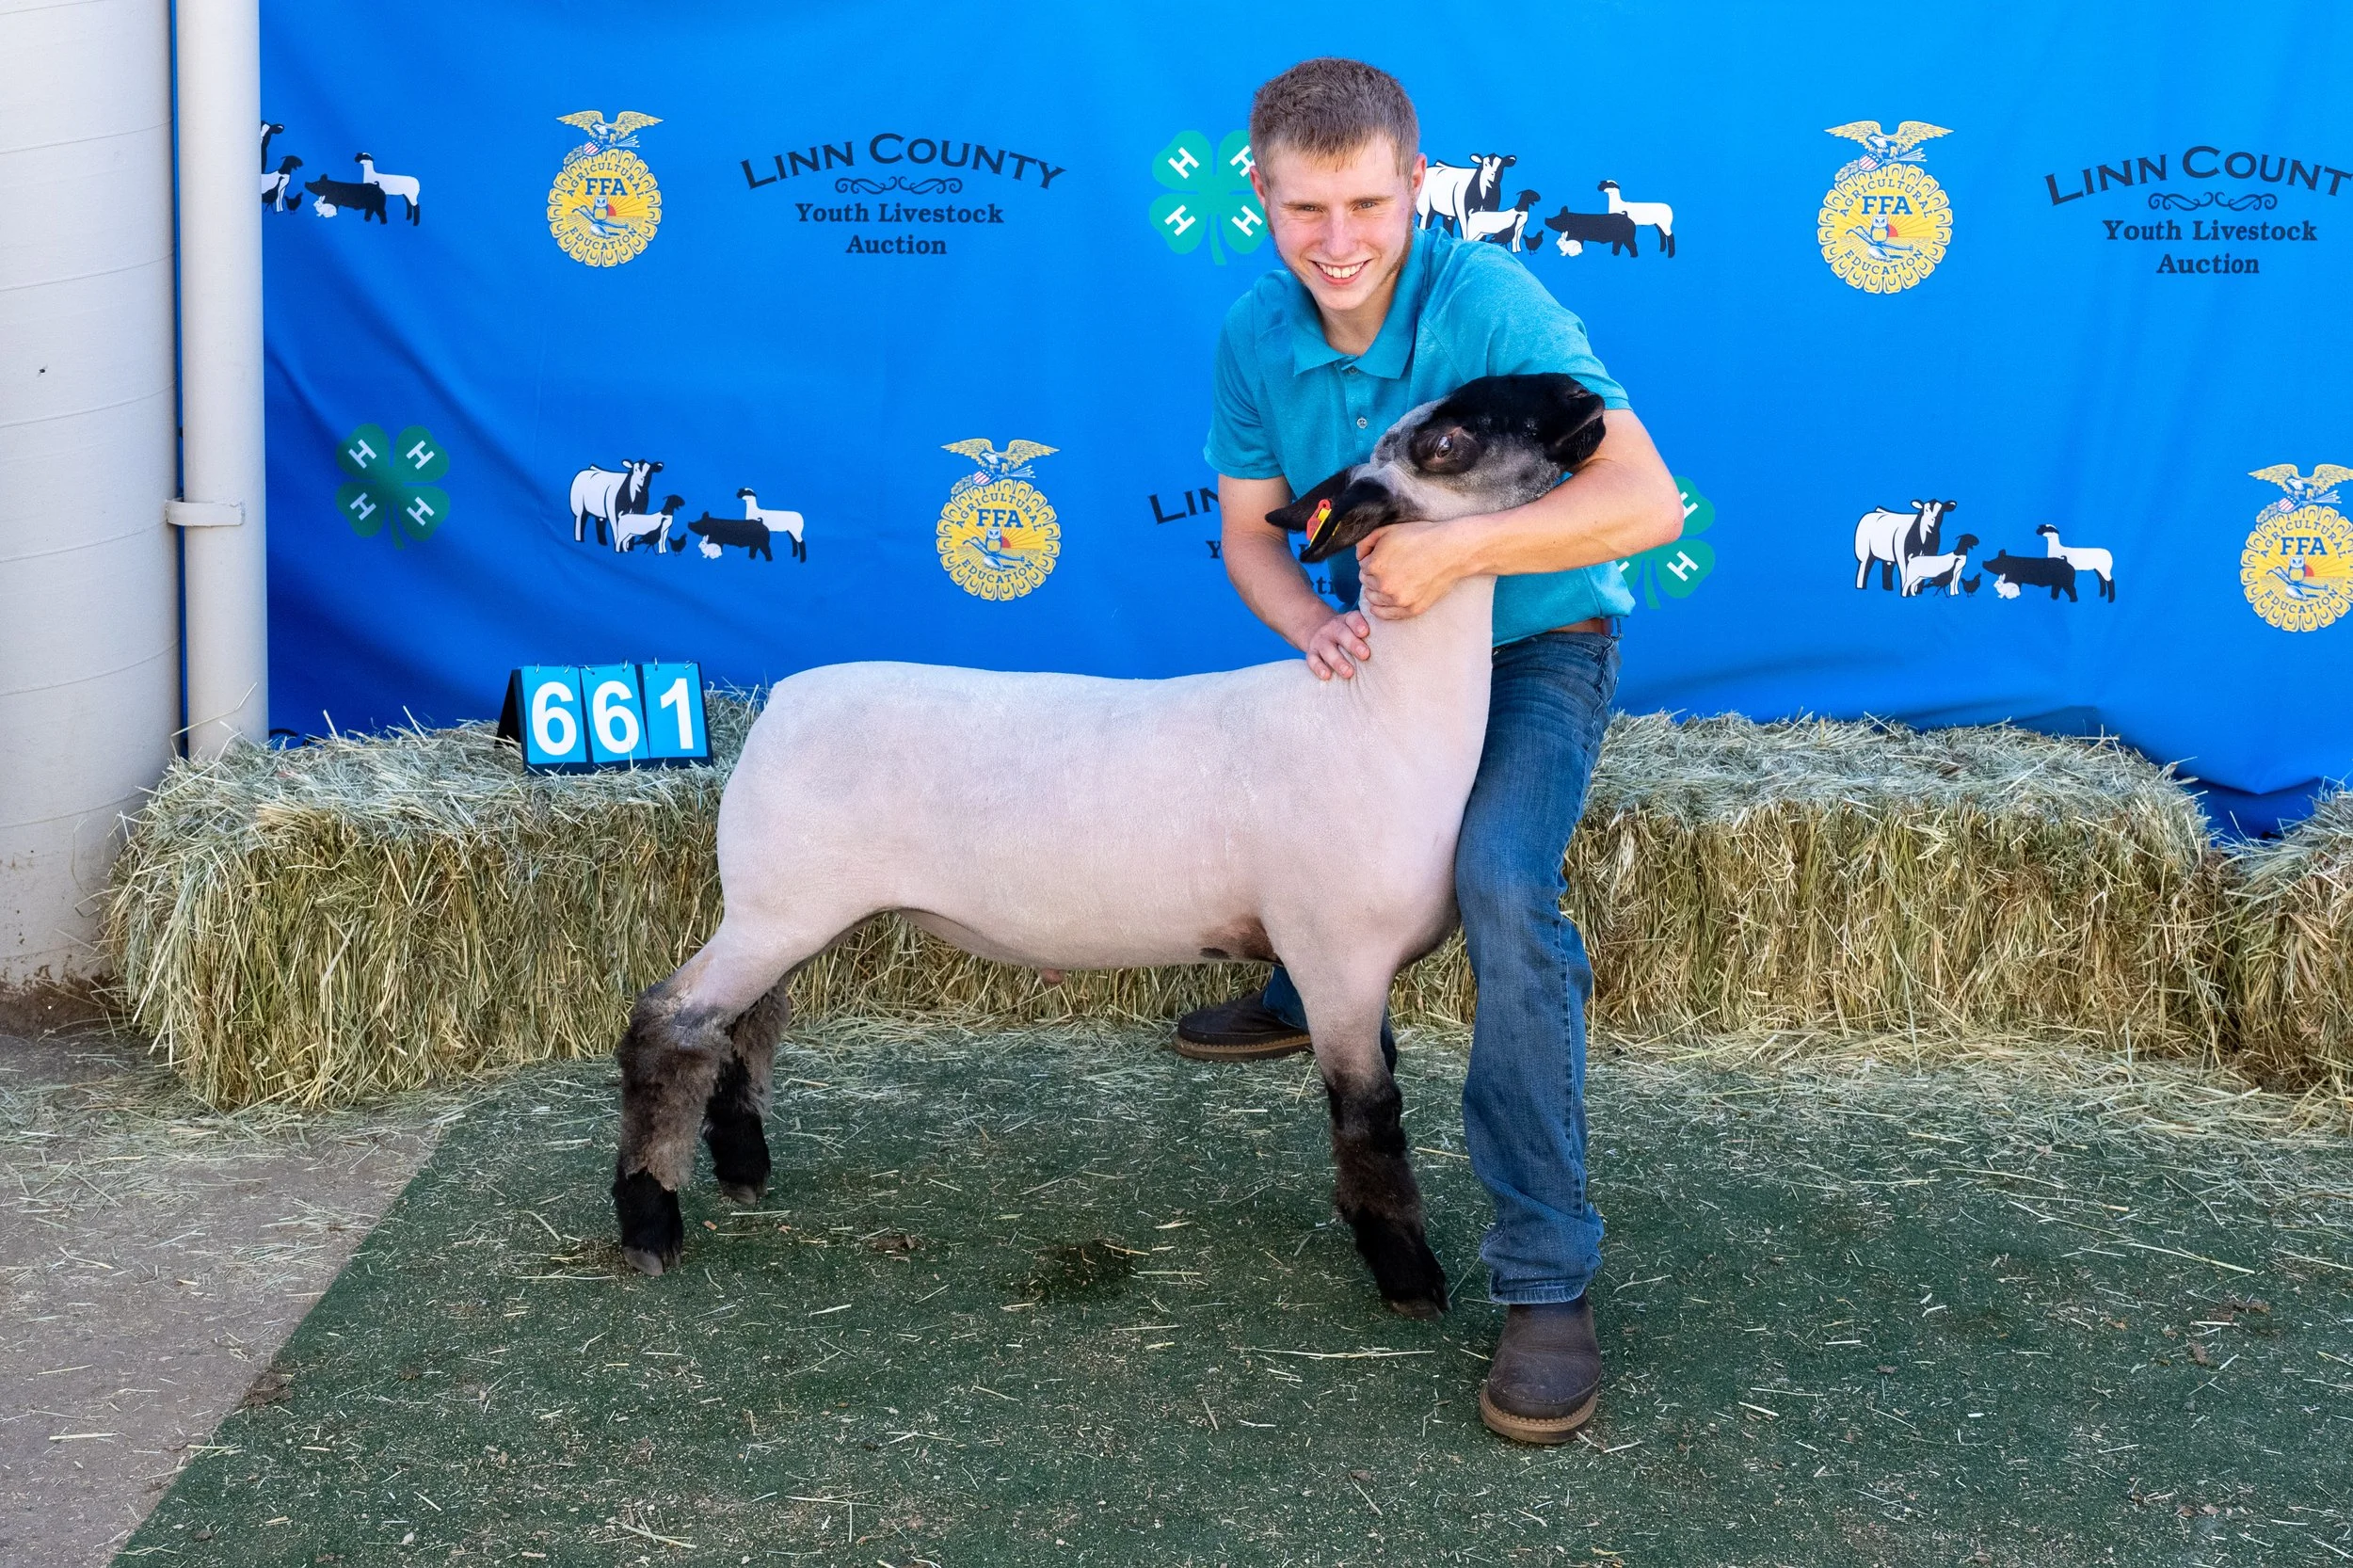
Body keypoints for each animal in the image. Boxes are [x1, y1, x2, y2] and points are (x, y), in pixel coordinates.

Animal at [611, 373, 1612, 1321]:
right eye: (1444, 442)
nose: (1583, 398)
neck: (1377, 715)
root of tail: (779, 704)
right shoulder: (1338, 956)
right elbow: (1370, 1116)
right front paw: (1406, 1273)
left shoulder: (1354, 969)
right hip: (778, 906)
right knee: (672, 1023)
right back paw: (649, 1221)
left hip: (787, 908)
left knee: (745, 1026)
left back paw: (743, 1172)